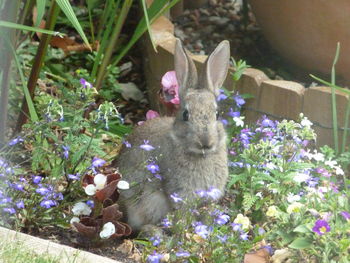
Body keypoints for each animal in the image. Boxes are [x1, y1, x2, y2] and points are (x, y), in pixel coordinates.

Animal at [113, 38, 231, 232]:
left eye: (217, 114)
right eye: (185, 115)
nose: (205, 142)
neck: (201, 155)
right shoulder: (181, 196)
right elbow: (181, 220)